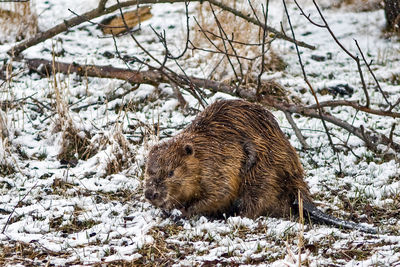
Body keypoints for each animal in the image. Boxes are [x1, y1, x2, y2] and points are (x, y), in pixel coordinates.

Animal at [145, 99, 376, 233]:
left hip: (262, 173)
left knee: (255, 202)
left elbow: (219, 194)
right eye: (149, 170)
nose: (150, 194)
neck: (204, 151)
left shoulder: (219, 165)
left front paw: (183, 212)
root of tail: (299, 192)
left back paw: (234, 217)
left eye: (171, 172)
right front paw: (167, 210)